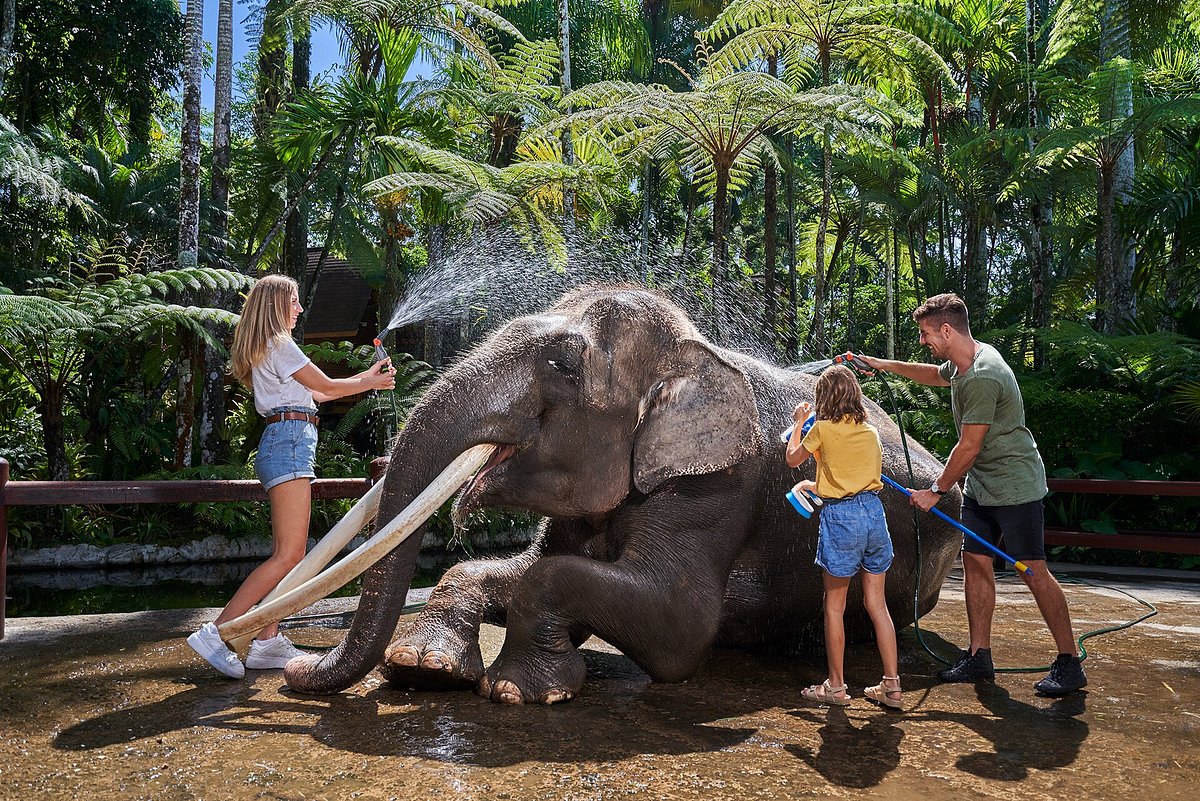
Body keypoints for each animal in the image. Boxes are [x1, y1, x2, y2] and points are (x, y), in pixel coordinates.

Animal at [282, 286, 963, 702]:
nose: (294, 667)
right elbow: (518, 566)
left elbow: (678, 624)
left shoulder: (717, 485)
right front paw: (422, 668)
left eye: (563, 365)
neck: (691, 348)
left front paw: (515, 691)